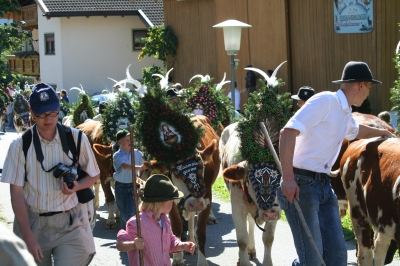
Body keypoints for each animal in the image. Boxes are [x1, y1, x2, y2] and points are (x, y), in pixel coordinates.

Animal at [219, 121, 282, 266]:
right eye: (254, 179)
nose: (271, 212)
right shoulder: (237, 207)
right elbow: (242, 239)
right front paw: (243, 261)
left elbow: (268, 238)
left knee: (252, 224)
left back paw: (251, 250)